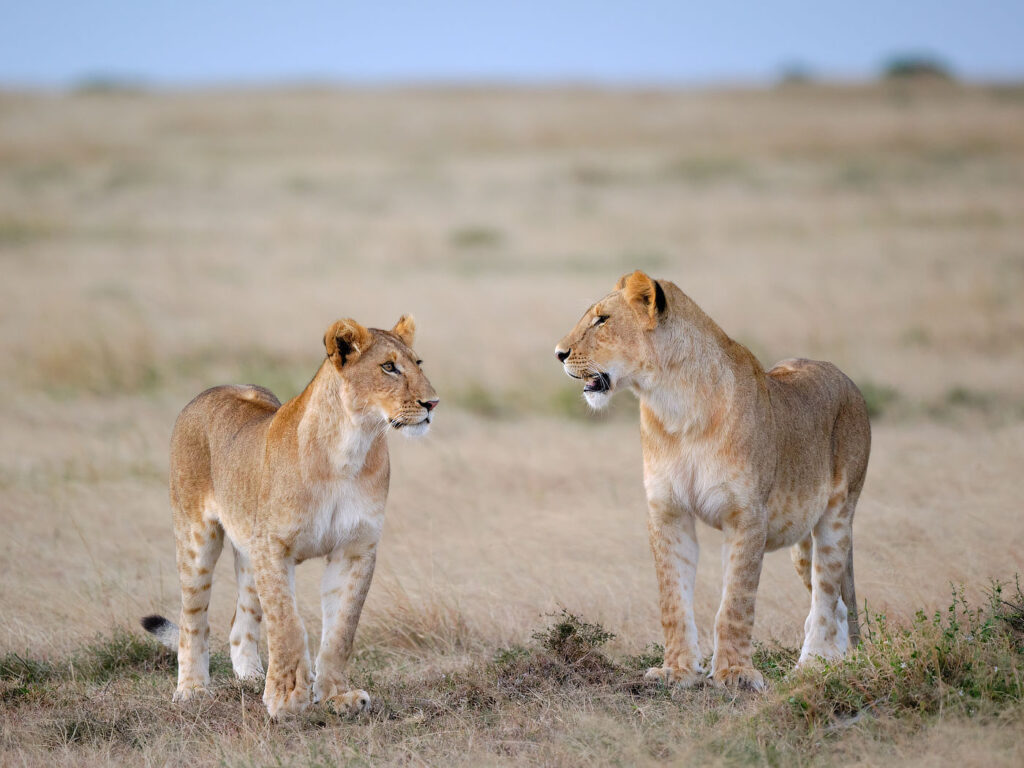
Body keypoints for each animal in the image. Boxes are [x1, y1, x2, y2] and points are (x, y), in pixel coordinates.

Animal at [142, 316, 438, 717]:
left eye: (417, 363)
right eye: (389, 367)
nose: (432, 402)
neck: (350, 447)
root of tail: (211, 391)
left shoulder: (355, 549)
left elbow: (341, 630)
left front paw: (336, 697)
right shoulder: (274, 547)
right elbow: (288, 625)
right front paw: (286, 699)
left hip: (249, 553)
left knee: (240, 622)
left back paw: (250, 677)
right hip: (196, 537)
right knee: (193, 619)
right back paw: (192, 689)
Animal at [555, 271, 870, 689]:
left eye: (602, 320)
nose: (558, 353)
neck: (674, 406)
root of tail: (846, 378)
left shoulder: (747, 516)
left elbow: (735, 601)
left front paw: (734, 673)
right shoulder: (667, 512)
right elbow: (673, 599)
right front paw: (677, 670)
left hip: (837, 519)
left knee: (826, 594)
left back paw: (813, 667)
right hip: (801, 544)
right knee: (833, 603)